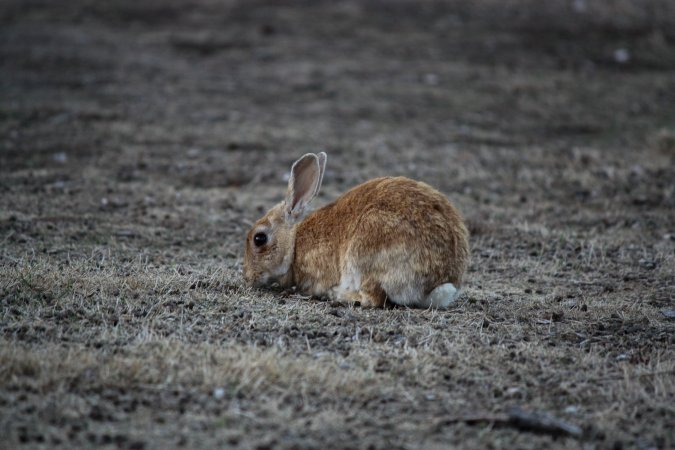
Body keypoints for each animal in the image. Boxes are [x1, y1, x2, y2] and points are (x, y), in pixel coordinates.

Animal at [243, 152, 469, 308]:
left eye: (259, 238)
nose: (247, 278)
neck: (294, 242)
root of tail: (439, 281)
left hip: (365, 254)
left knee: (374, 298)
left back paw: (338, 295)